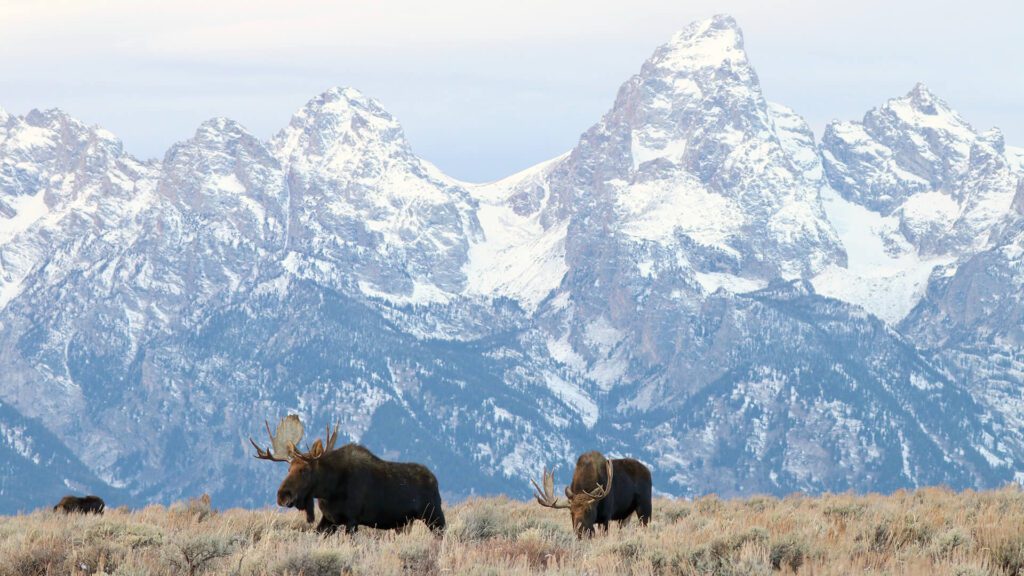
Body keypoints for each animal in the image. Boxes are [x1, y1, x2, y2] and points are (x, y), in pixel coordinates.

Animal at [249, 412, 446, 532]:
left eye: (304, 469)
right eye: (289, 468)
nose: (282, 495)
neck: (328, 490)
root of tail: (435, 480)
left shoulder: (352, 519)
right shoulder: (329, 520)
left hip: (434, 515)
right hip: (406, 523)